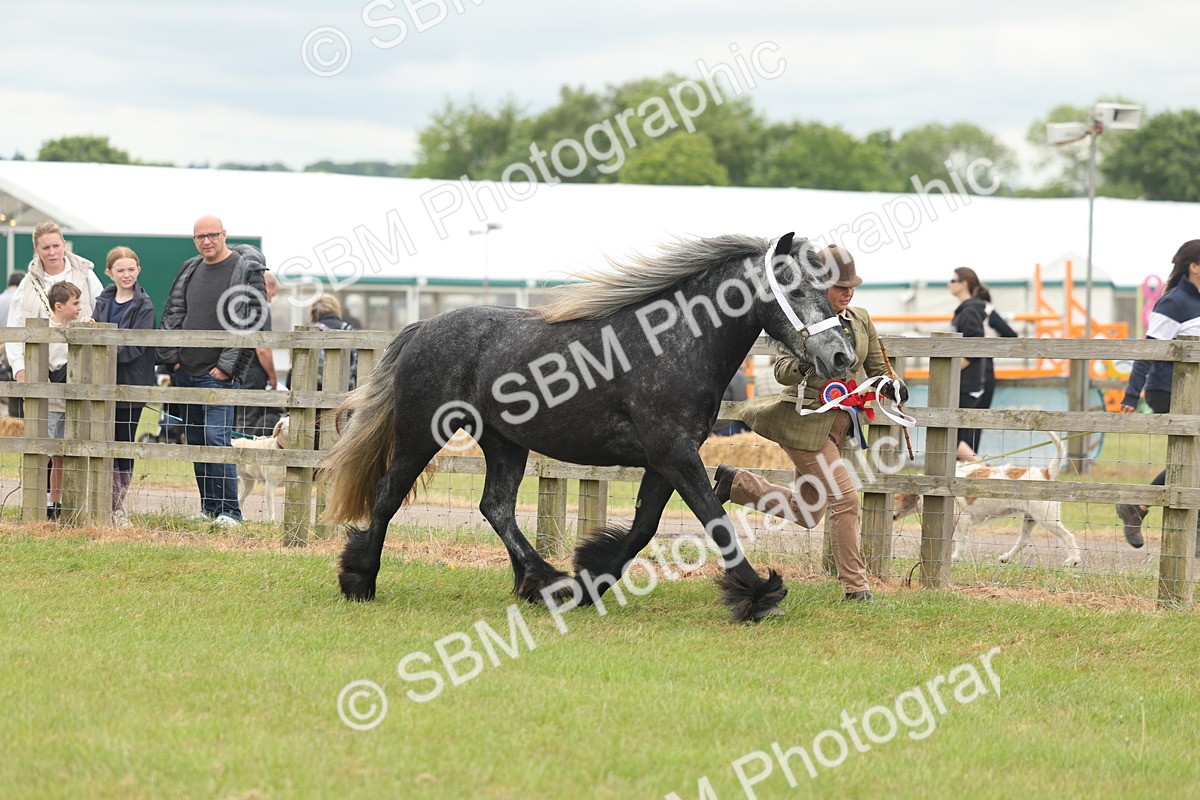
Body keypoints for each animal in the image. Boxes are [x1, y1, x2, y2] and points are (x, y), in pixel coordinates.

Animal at [319, 232, 855, 621]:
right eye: (796, 288)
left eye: (825, 287)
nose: (841, 356)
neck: (673, 343)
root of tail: (422, 329)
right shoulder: (675, 454)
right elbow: (713, 520)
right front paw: (758, 595)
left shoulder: (666, 459)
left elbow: (642, 527)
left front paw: (591, 579)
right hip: (421, 433)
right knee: (389, 496)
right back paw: (361, 580)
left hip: (504, 443)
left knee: (496, 507)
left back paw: (543, 583)